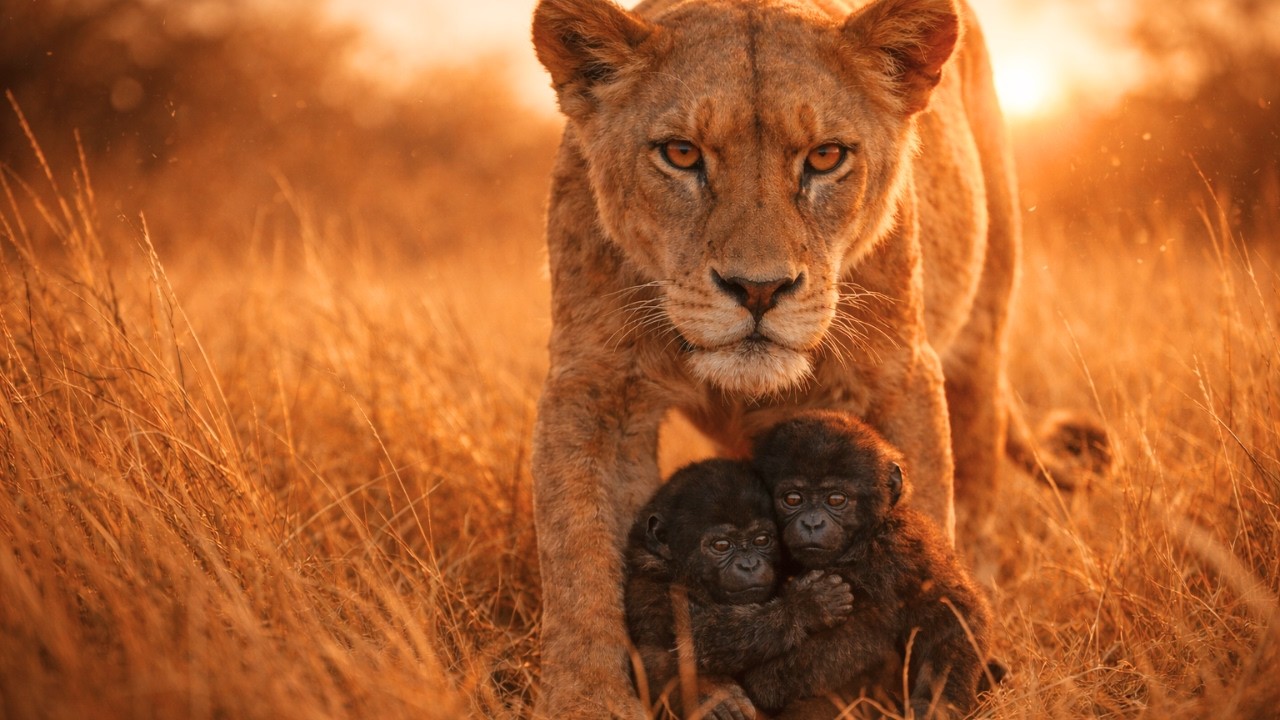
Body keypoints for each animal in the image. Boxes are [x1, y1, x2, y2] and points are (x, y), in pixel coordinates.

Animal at [527, 0, 1101, 717]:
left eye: (826, 157)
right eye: (681, 153)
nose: (758, 289)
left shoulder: (898, 374)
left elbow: (926, 534)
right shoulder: (595, 385)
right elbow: (577, 559)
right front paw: (592, 701)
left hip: (984, 325)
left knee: (977, 470)